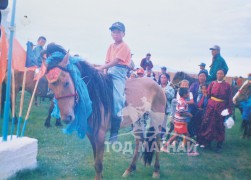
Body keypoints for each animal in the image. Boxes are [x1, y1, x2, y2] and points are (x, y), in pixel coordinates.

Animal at [45, 49, 167, 180]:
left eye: (67, 83)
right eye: (51, 87)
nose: (67, 118)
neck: (94, 96)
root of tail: (157, 85)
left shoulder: (100, 134)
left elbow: (98, 164)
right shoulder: (91, 134)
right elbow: (96, 161)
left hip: (156, 120)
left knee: (157, 142)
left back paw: (156, 170)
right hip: (138, 121)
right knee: (139, 141)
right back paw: (130, 169)